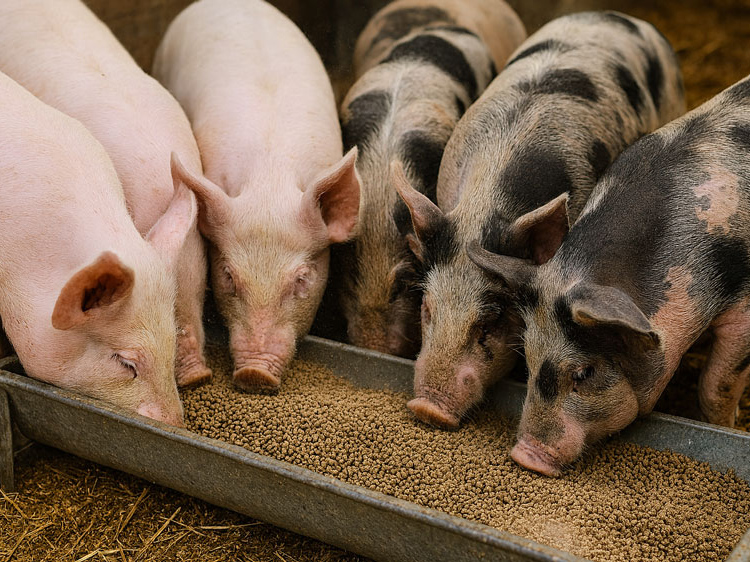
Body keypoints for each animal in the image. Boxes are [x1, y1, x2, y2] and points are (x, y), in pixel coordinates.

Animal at [468, 74, 750, 476]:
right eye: (529, 359)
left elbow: (716, 385)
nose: (525, 455)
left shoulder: (743, 308)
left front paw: (728, 427)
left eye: (584, 373)